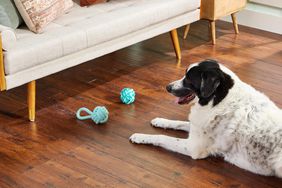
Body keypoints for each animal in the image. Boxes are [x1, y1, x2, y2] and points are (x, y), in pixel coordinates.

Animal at [129, 59, 282, 178]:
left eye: (188, 79)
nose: (168, 87)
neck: (218, 99)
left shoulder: (192, 147)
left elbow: (161, 137)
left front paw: (140, 136)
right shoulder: (197, 124)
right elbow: (179, 123)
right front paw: (160, 121)